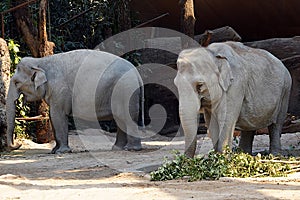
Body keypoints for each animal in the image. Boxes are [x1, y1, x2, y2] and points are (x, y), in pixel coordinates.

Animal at [6, 49, 144, 153]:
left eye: (17, 83)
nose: (18, 144)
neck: (40, 61)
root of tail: (137, 73)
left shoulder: (60, 90)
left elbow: (57, 116)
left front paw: (61, 152)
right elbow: (52, 116)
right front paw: (54, 151)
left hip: (125, 90)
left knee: (126, 117)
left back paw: (131, 149)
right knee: (120, 118)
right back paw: (117, 148)